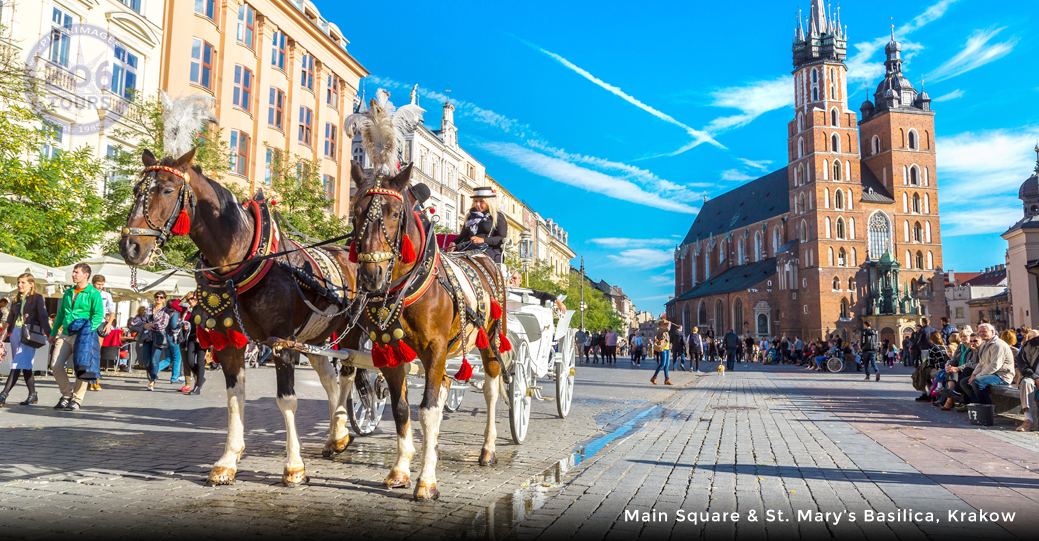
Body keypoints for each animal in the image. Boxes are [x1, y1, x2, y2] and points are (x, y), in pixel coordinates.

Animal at [120, 146, 365, 485]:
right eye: (135, 190)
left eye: (168, 190)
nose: (130, 246)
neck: (242, 263)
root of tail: (348, 252)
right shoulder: (228, 340)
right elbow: (234, 397)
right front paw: (227, 460)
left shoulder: (281, 342)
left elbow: (287, 400)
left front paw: (294, 466)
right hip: (315, 335)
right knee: (329, 380)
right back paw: (335, 436)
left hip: (349, 332)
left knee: (347, 377)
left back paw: (341, 428)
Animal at [351, 161, 509, 500]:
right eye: (355, 212)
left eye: (394, 213)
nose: (371, 275)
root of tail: (477, 256)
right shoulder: (391, 352)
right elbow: (401, 409)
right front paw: (400, 470)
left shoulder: (434, 348)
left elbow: (428, 410)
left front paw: (426, 481)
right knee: (446, 383)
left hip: (489, 339)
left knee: (491, 387)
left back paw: (488, 449)